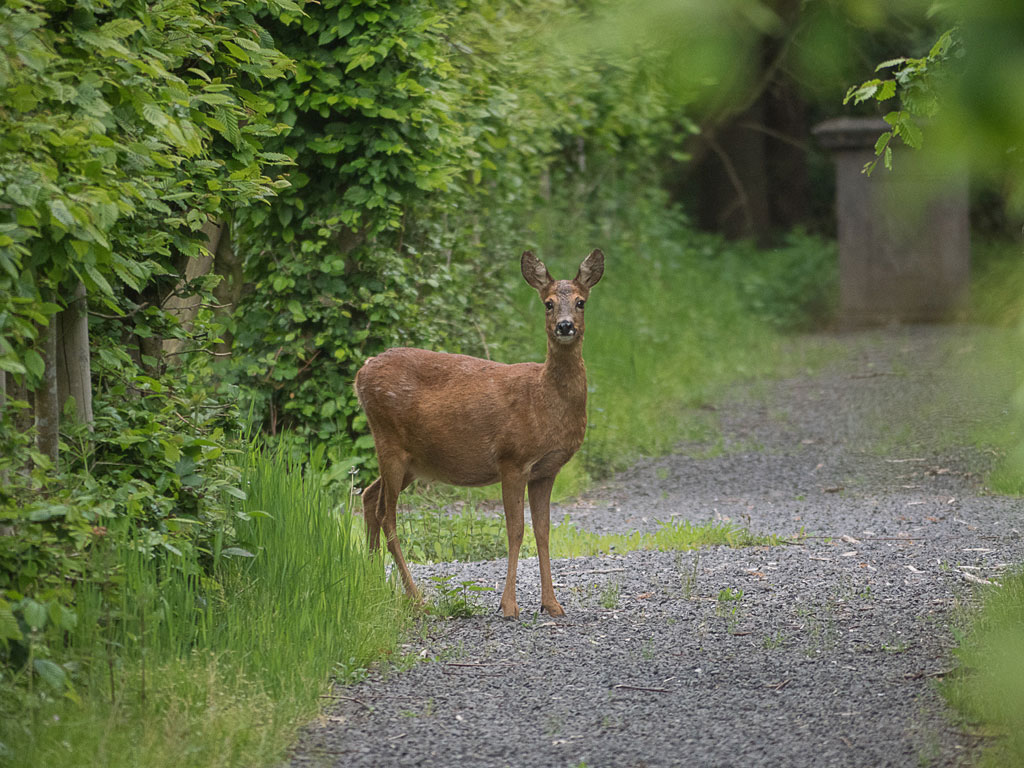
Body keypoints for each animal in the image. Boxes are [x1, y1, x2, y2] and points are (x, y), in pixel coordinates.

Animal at [356, 249, 602, 622]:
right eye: (547, 303)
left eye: (580, 302)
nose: (565, 326)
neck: (544, 400)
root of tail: (361, 372)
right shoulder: (512, 459)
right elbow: (515, 530)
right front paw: (509, 605)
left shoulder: (546, 470)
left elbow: (543, 532)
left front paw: (552, 604)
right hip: (389, 440)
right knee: (387, 515)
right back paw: (416, 598)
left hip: (412, 459)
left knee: (370, 497)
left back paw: (373, 585)